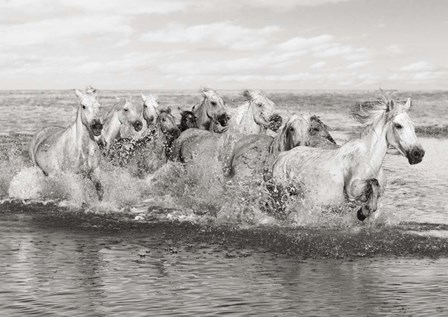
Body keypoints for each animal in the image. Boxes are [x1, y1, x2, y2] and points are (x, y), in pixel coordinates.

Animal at [270, 97, 424, 220]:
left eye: (413, 126)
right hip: (282, 196)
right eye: (398, 125)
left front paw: (363, 212)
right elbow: (373, 183)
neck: (370, 161)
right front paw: (363, 212)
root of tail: (283, 156)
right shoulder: (352, 189)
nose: (418, 154)